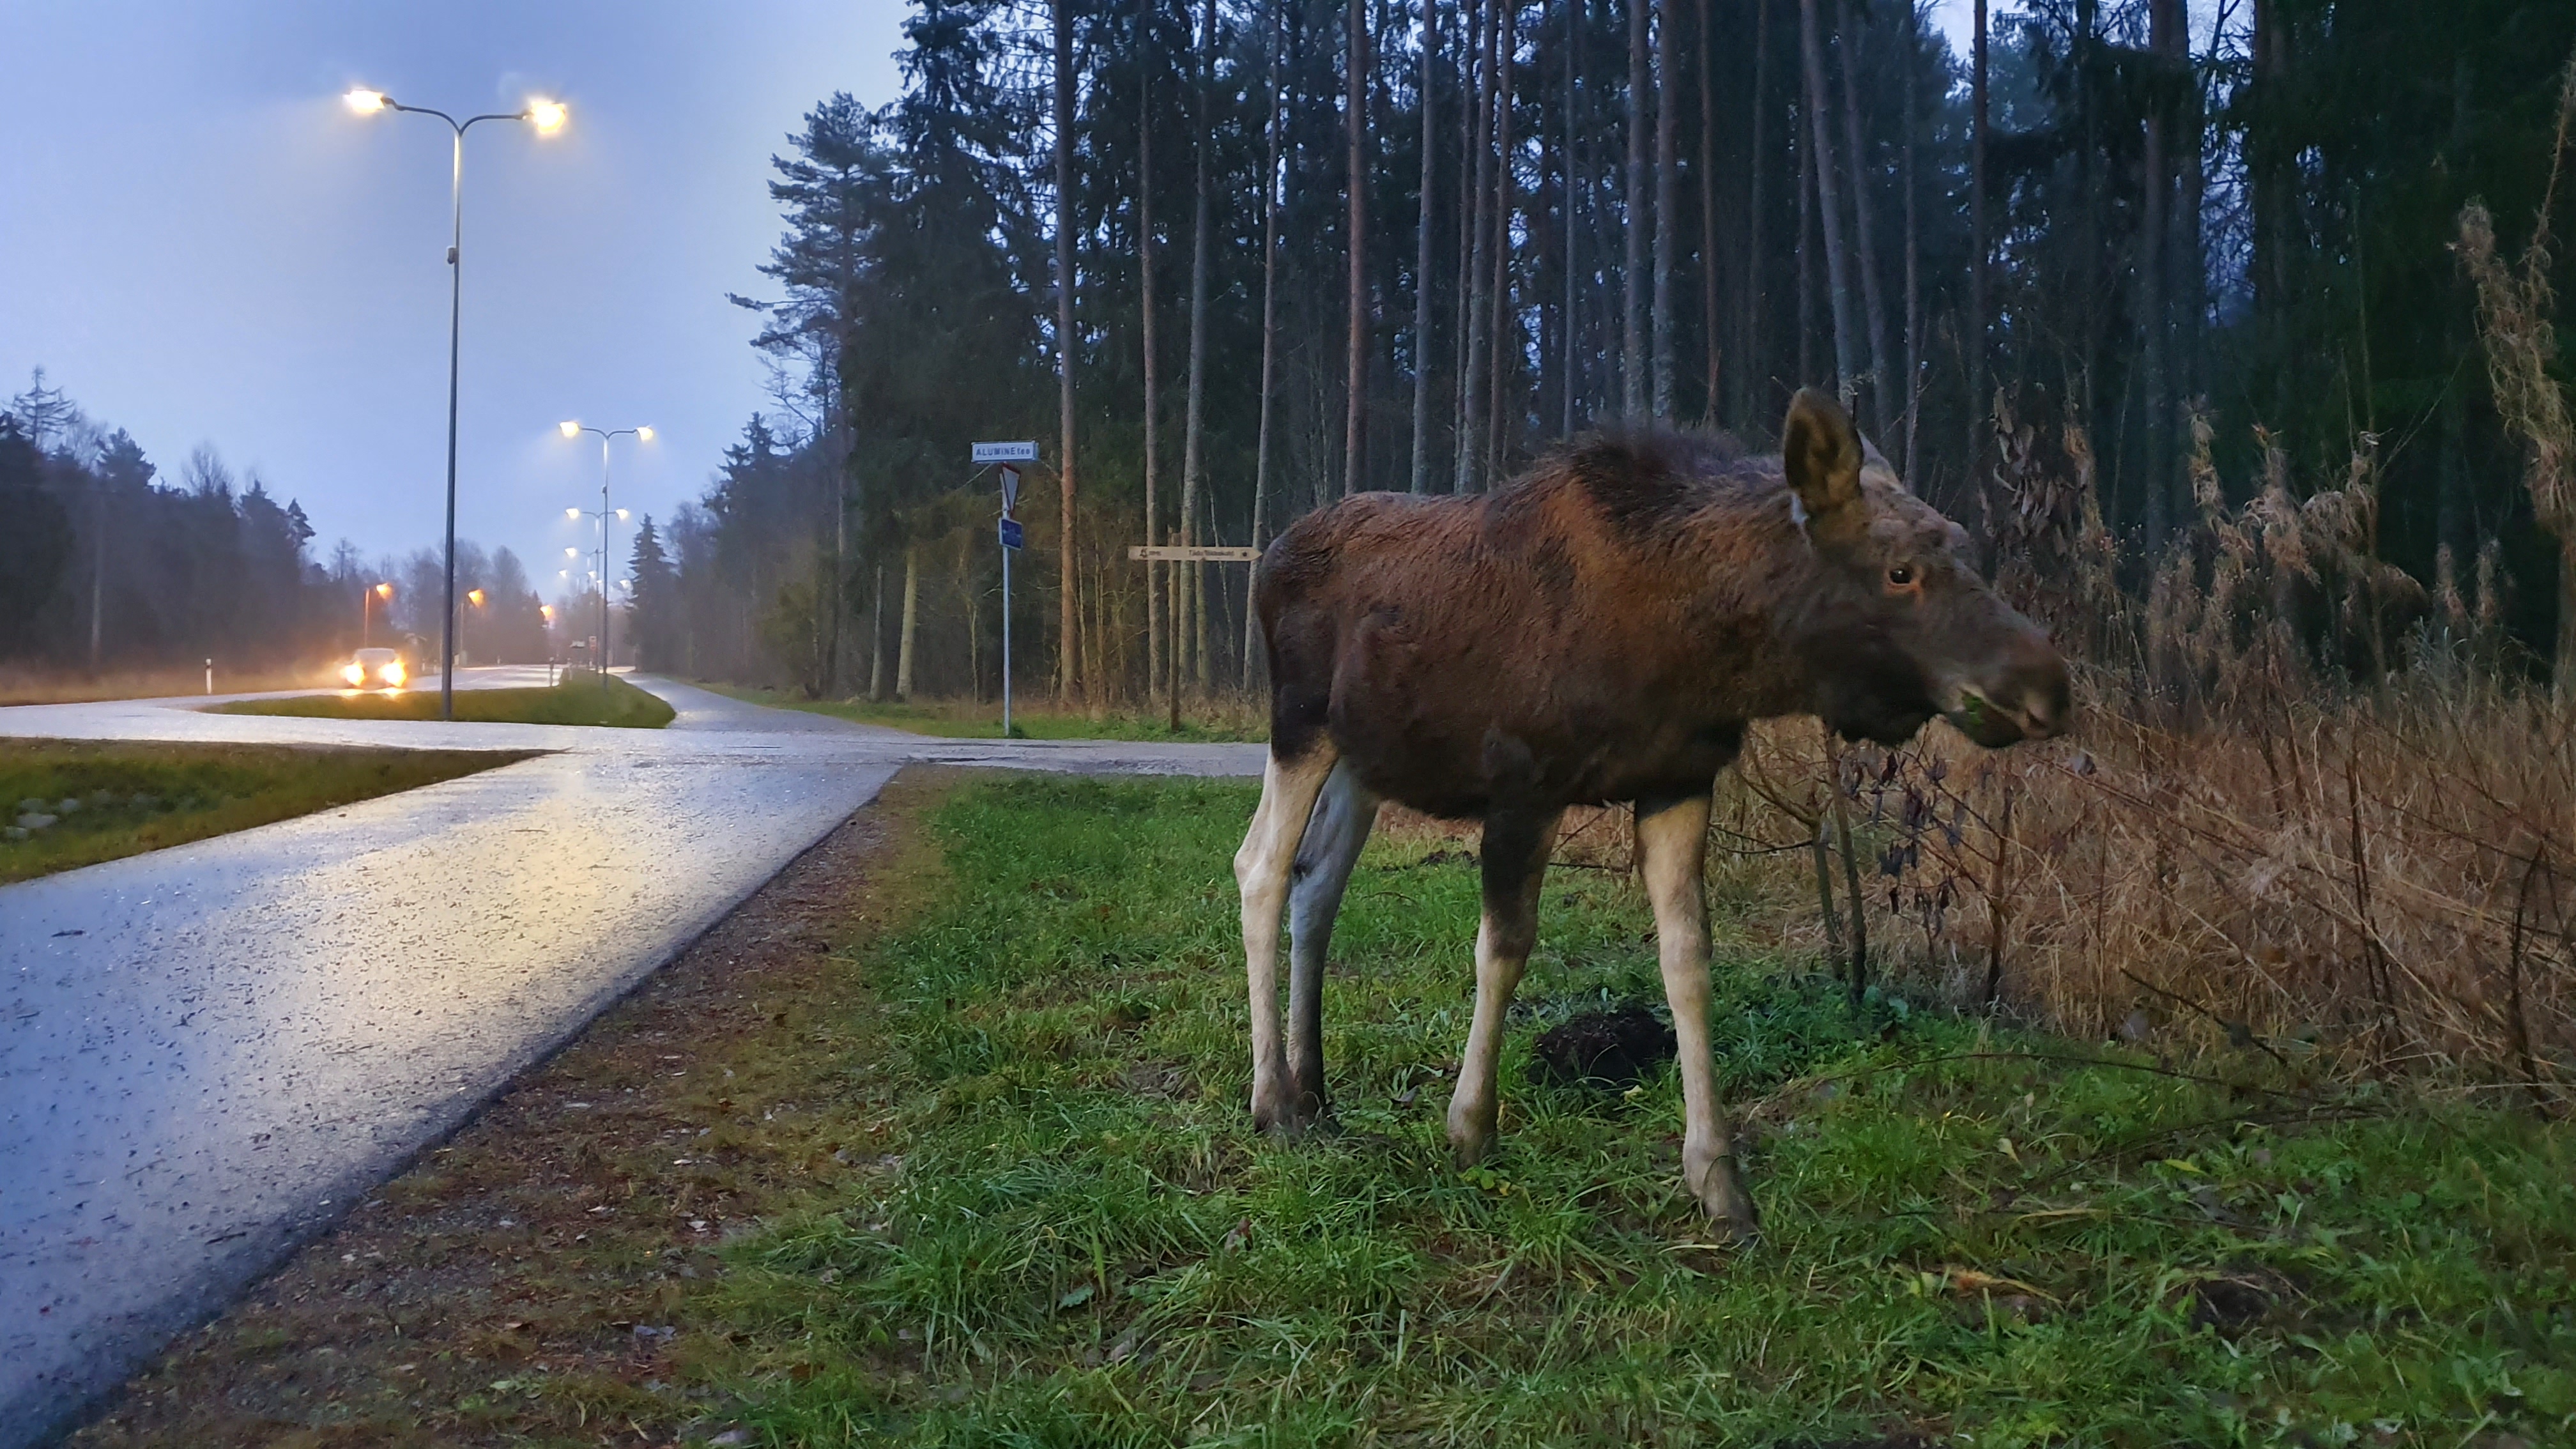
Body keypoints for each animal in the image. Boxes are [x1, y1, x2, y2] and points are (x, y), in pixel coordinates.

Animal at [1231, 384, 2071, 1227]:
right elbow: (1502, 951)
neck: (1695, 650)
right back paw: (1274, 1102)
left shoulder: (1678, 780)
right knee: (1261, 867)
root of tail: (1270, 554)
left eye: (1964, 545)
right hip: (1299, 720)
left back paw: (1316, 1092)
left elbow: (1688, 960)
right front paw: (1470, 1129)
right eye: (1900, 571)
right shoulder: (1524, 782)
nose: (2048, 688)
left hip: (1364, 757)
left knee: (1319, 882)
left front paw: (1719, 1179)